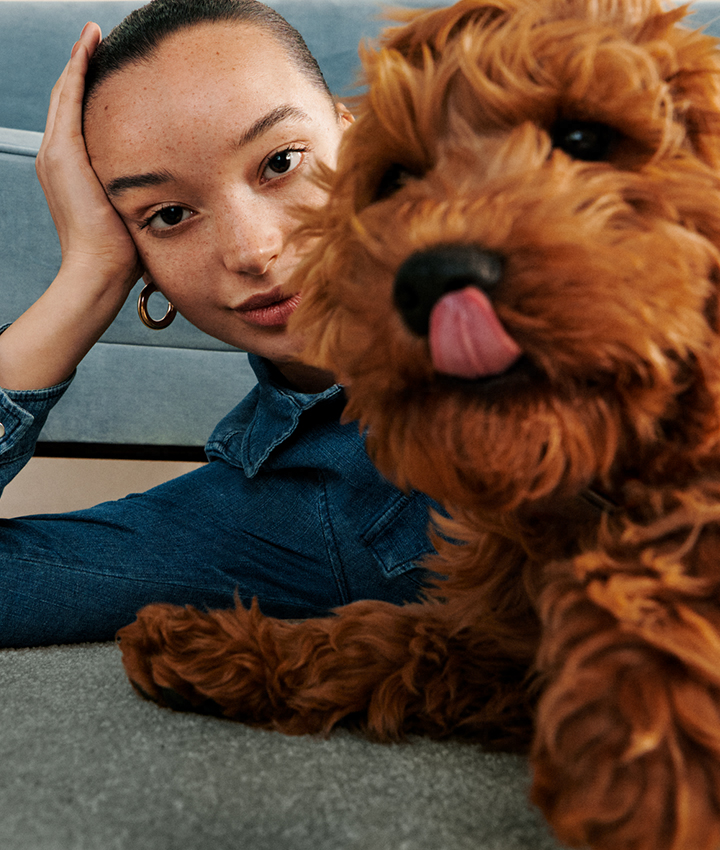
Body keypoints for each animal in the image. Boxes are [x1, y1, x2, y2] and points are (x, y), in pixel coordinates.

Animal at [118, 1, 720, 840]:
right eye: (396, 180)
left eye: (582, 138)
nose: (437, 277)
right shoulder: (500, 640)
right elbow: (387, 633)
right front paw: (215, 643)